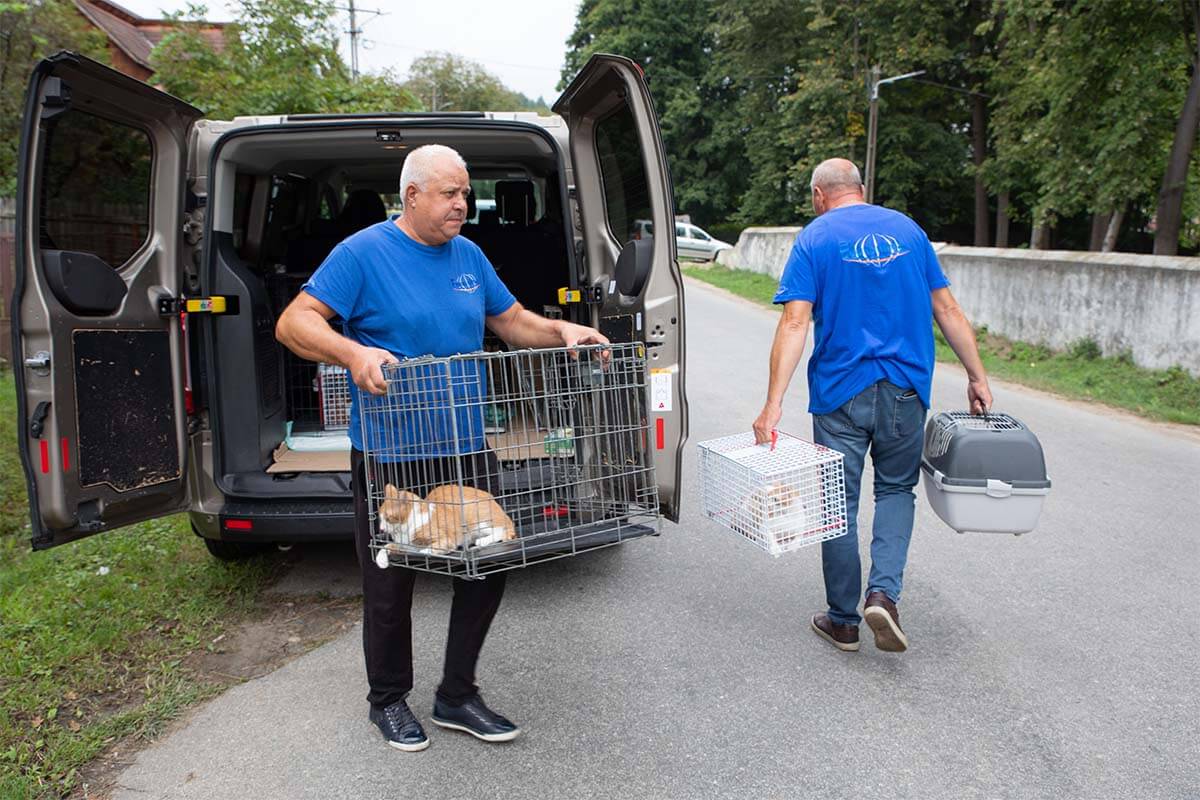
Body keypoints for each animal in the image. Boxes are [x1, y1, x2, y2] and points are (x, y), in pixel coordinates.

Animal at [374, 484, 516, 566]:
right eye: (379, 518)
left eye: (387, 518)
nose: (381, 529)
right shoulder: (408, 546)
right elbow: (385, 546)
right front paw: (381, 560)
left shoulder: (446, 540)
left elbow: (430, 549)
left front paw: (427, 551)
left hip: (474, 519)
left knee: (503, 530)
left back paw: (483, 541)